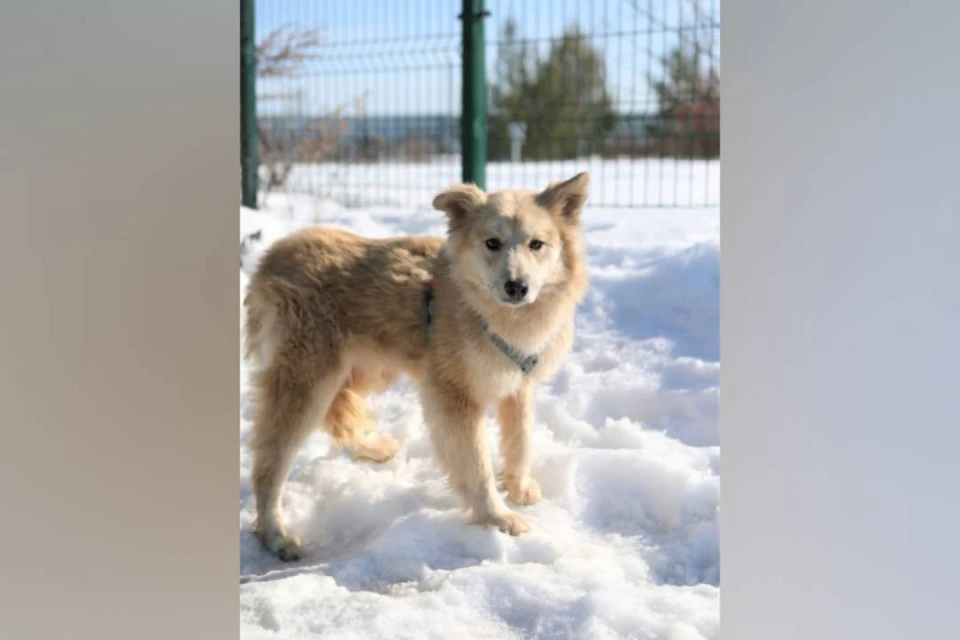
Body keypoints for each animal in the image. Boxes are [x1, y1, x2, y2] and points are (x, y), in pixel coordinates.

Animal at [244, 171, 588, 560]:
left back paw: (372, 447)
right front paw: (496, 517)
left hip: (360, 370)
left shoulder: (518, 384)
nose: (517, 286)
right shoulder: (454, 396)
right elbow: (477, 464)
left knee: (339, 413)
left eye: (536, 244)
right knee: (269, 465)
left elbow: (522, 440)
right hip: (307, 382)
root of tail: (272, 257)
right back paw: (276, 534)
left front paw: (519, 487)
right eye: (492, 243)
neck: (479, 304)